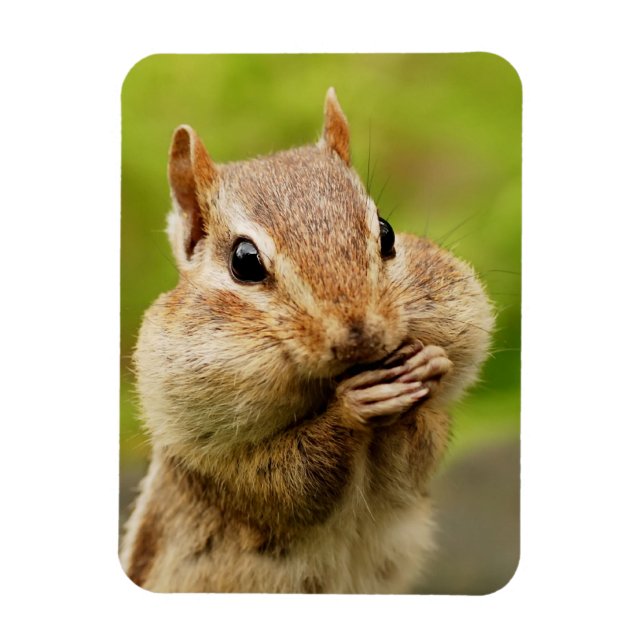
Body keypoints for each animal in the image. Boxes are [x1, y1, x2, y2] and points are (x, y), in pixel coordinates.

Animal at [120, 88, 494, 593]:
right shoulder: (216, 462)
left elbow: (417, 459)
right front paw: (351, 406)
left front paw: (427, 366)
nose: (362, 337)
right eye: (244, 261)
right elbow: (290, 484)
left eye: (386, 232)